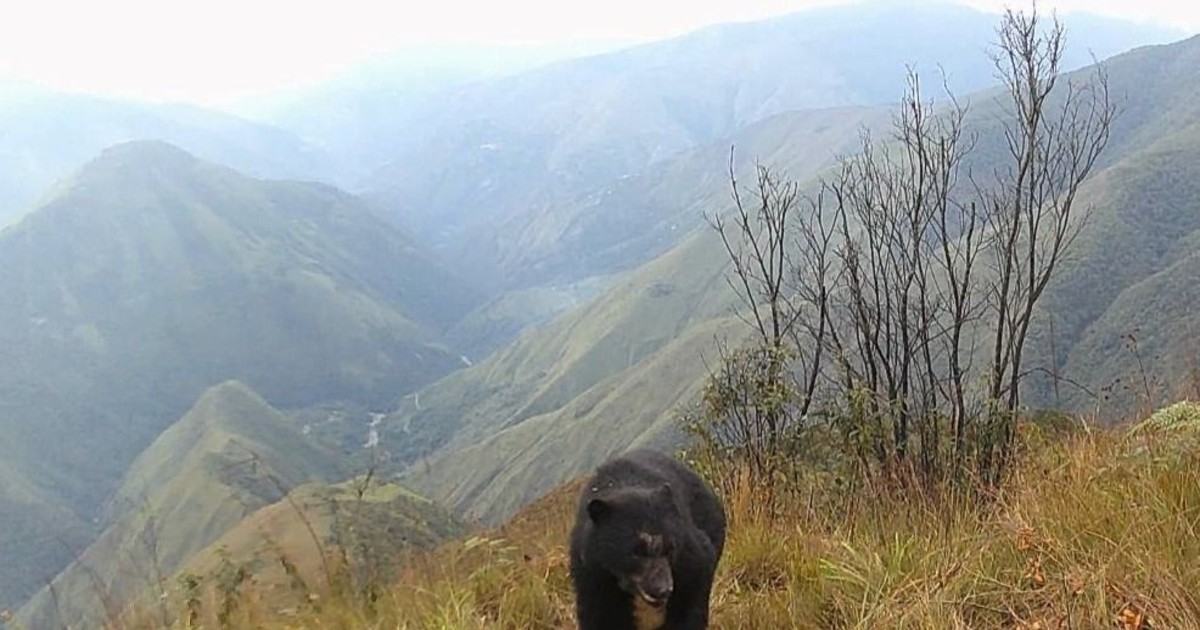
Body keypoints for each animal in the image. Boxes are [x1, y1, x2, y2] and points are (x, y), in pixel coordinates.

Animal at [569, 448, 726, 630]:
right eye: (635, 552)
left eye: (670, 549)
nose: (663, 589)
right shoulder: (594, 576)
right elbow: (600, 617)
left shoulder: (688, 556)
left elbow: (696, 581)